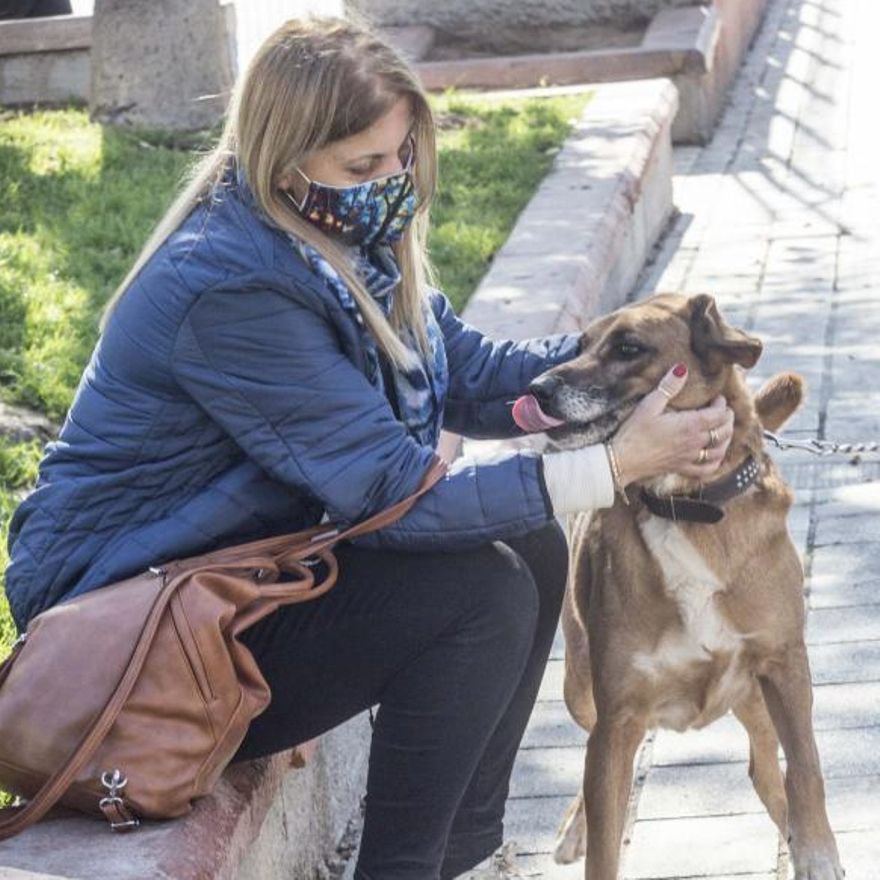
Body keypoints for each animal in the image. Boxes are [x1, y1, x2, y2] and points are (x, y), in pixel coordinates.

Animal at [520, 294, 844, 880]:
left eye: (629, 347)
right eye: (580, 345)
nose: (536, 388)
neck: (684, 505)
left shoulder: (785, 663)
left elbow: (805, 765)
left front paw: (817, 852)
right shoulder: (617, 717)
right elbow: (604, 843)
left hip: (756, 697)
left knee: (768, 772)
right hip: (579, 687)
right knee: (592, 768)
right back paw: (575, 826)